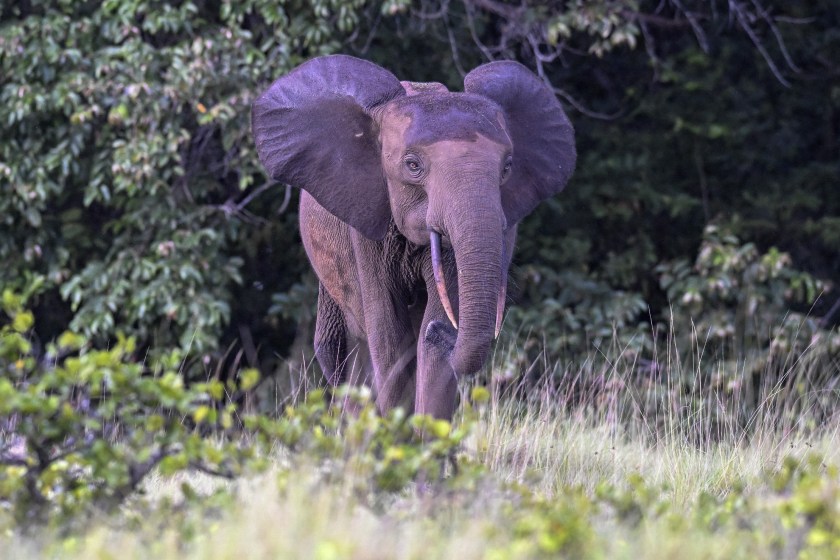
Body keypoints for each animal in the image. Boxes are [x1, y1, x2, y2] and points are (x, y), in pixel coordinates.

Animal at [252, 55, 575, 420]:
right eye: (412, 165)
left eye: (507, 167)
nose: (443, 332)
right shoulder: (365, 222)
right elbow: (389, 337)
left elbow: (429, 346)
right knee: (340, 352)